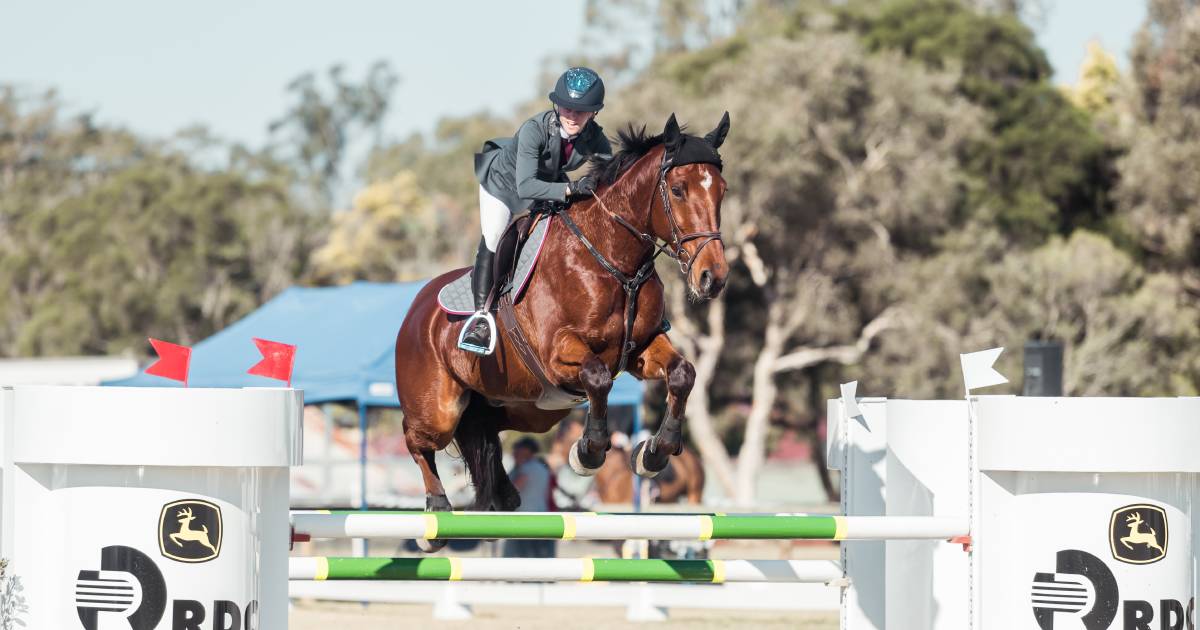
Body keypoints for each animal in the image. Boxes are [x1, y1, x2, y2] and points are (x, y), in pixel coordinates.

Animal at [396, 112, 729, 549]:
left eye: (722, 190)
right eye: (677, 189)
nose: (713, 278)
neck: (614, 261)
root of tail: (416, 307)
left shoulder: (641, 349)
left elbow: (682, 374)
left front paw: (654, 452)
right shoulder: (558, 354)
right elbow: (598, 378)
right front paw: (588, 452)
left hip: (521, 408)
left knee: (482, 434)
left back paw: (504, 496)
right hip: (439, 410)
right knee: (416, 439)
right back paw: (435, 515)